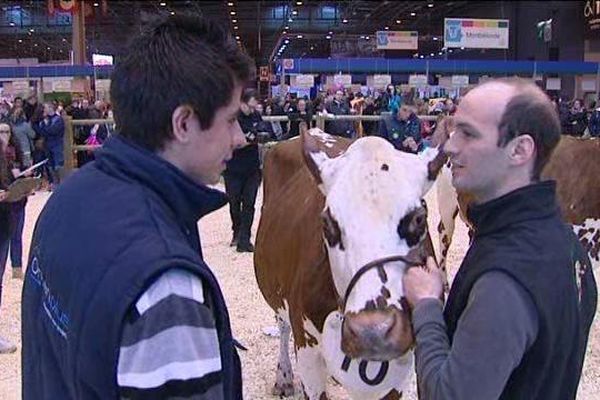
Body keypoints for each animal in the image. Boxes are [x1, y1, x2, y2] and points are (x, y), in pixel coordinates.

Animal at [253, 126, 446, 398]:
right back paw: (284, 378)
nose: (372, 332)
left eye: (419, 219)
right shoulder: (307, 347)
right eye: (327, 223)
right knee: (282, 325)